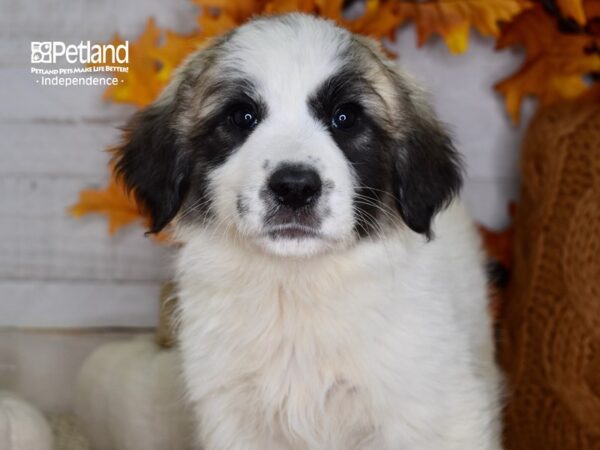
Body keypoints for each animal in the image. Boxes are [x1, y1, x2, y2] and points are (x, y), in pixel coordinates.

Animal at [115, 12, 504, 448]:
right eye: (242, 117)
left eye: (345, 118)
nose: (295, 189)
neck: (295, 288)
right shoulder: (235, 419)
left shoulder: (436, 413)